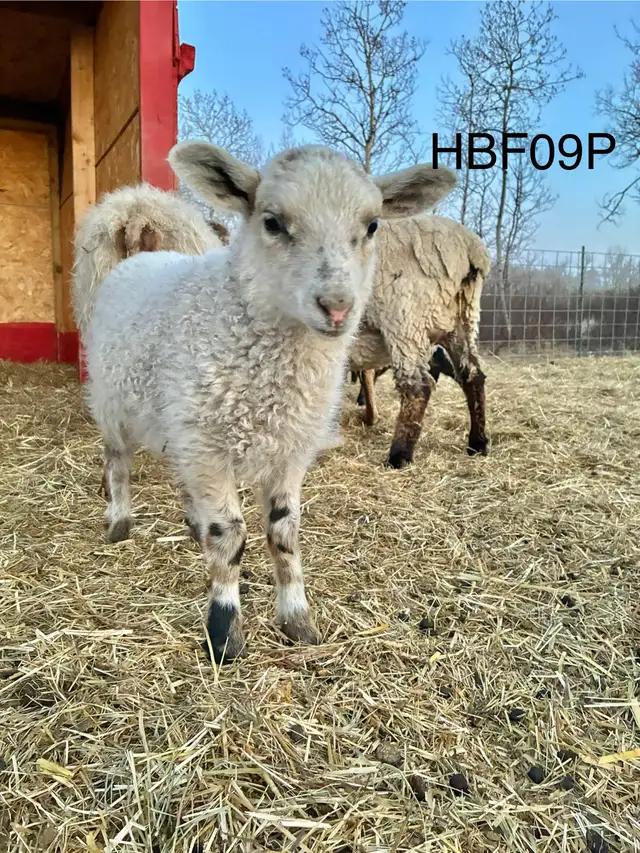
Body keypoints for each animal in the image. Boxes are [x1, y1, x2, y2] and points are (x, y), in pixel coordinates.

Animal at [347, 214, 491, 468]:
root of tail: (469, 248)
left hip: (405, 319)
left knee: (418, 388)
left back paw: (399, 456)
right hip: (462, 319)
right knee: (473, 375)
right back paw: (477, 443)